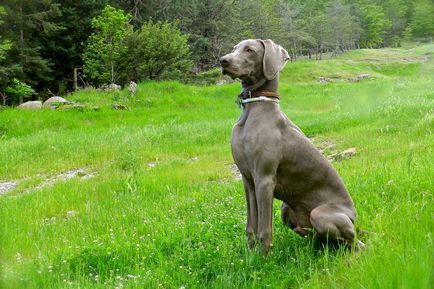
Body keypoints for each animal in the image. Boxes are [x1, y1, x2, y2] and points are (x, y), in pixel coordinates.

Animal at [220, 39, 362, 253]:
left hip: (321, 214)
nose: (223, 60)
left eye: (250, 50)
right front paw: (250, 255)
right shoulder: (248, 180)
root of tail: (354, 218)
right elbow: (250, 226)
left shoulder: (264, 179)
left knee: (353, 243)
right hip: (286, 208)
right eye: (234, 48)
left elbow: (264, 230)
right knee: (314, 236)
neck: (255, 106)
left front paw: (262, 258)